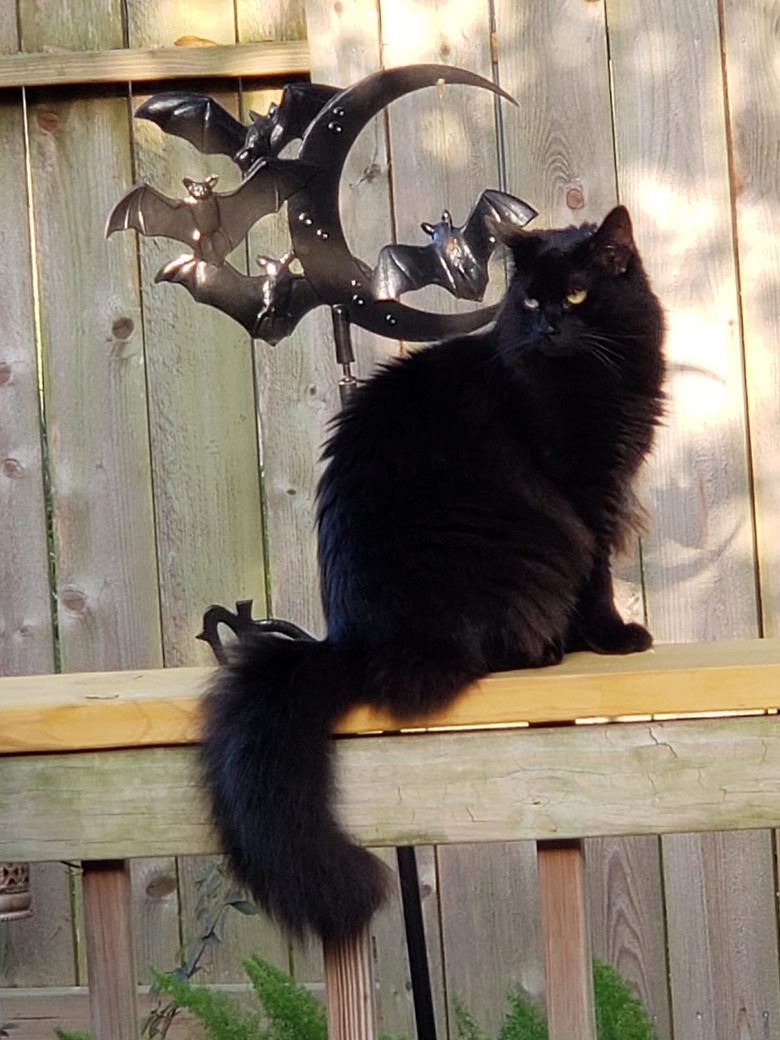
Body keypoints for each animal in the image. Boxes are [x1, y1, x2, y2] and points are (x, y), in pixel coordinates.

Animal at [201, 202, 665, 944]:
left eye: (574, 296)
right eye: (529, 299)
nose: (546, 326)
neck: (599, 373)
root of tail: (350, 643)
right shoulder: (582, 492)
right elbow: (596, 574)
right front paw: (613, 637)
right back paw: (542, 651)